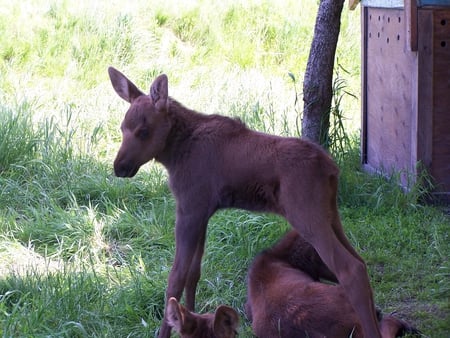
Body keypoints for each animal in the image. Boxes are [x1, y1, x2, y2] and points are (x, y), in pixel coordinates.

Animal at [108, 66, 384, 338]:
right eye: (121, 128)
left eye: (143, 131)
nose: (119, 167)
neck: (174, 153)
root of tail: (331, 169)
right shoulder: (202, 212)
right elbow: (194, 274)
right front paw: (191, 318)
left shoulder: (188, 208)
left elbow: (175, 279)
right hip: (330, 214)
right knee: (360, 262)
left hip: (307, 214)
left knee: (350, 268)